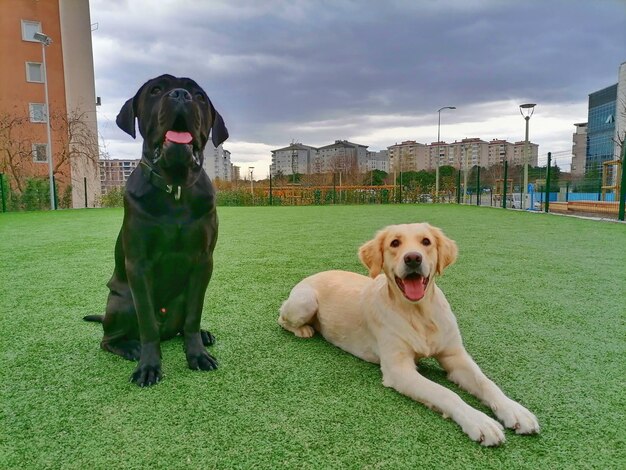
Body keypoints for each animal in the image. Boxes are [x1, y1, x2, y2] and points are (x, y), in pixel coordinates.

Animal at [84, 74, 228, 386]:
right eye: (156, 90)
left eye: (200, 96)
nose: (181, 95)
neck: (175, 186)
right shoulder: (138, 264)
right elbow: (147, 322)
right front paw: (148, 366)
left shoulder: (203, 261)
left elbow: (193, 316)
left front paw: (197, 354)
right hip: (122, 302)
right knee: (108, 339)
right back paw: (130, 348)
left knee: (181, 325)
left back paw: (203, 335)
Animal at [276, 223, 536, 444]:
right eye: (394, 243)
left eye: (426, 241)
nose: (413, 258)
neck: (420, 314)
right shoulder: (399, 369)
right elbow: (446, 393)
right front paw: (480, 422)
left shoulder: (455, 356)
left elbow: (486, 383)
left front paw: (515, 410)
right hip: (304, 302)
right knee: (281, 317)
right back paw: (305, 329)